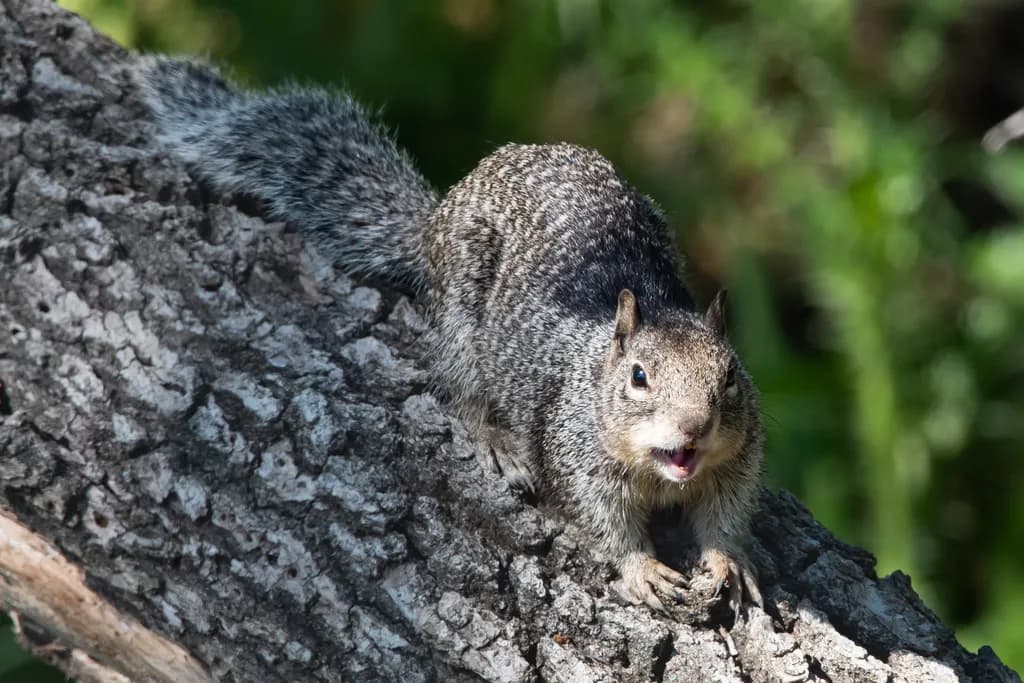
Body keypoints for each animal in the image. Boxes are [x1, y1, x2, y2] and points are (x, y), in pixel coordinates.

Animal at [140, 57, 765, 614]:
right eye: (638, 377)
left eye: (730, 376)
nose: (694, 426)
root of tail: (437, 218)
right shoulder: (574, 455)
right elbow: (601, 520)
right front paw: (640, 568)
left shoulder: (738, 461)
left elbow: (727, 515)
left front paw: (726, 561)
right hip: (463, 311)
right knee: (459, 387)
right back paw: (493, 439)